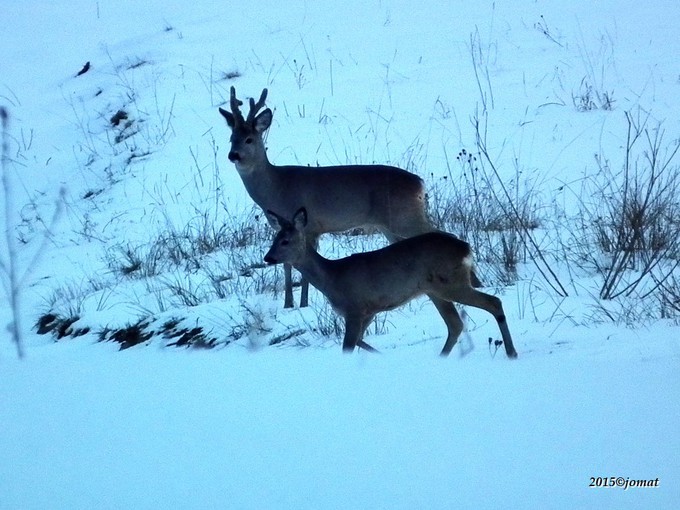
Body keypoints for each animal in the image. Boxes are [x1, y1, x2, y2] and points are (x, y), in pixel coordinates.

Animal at [262, 207, 516, 358]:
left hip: (451, 283)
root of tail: (466, 248)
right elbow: (359, 341)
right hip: (434, 290)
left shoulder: (355, 309)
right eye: (274, 238)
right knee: (455, 324)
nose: (267, 258)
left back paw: (511, 352)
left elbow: (348, 345)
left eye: (285, 241)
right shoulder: (369, 311)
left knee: (493, 302)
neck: (333, 278)